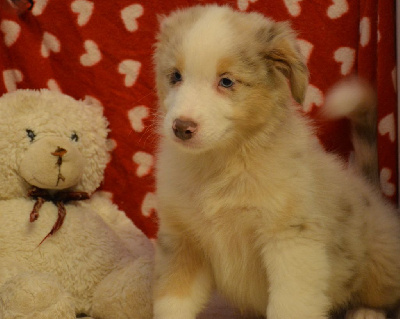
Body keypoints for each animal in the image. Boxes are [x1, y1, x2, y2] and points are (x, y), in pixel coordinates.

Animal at [152, 5, 400, 319]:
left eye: (226, 81)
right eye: (175, 76)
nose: (182, 127)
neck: (222, 163)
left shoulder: (291, 241)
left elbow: (290, 305)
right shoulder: (182, 243)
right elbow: (172, 302)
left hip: (379, 264)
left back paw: (366, 312)